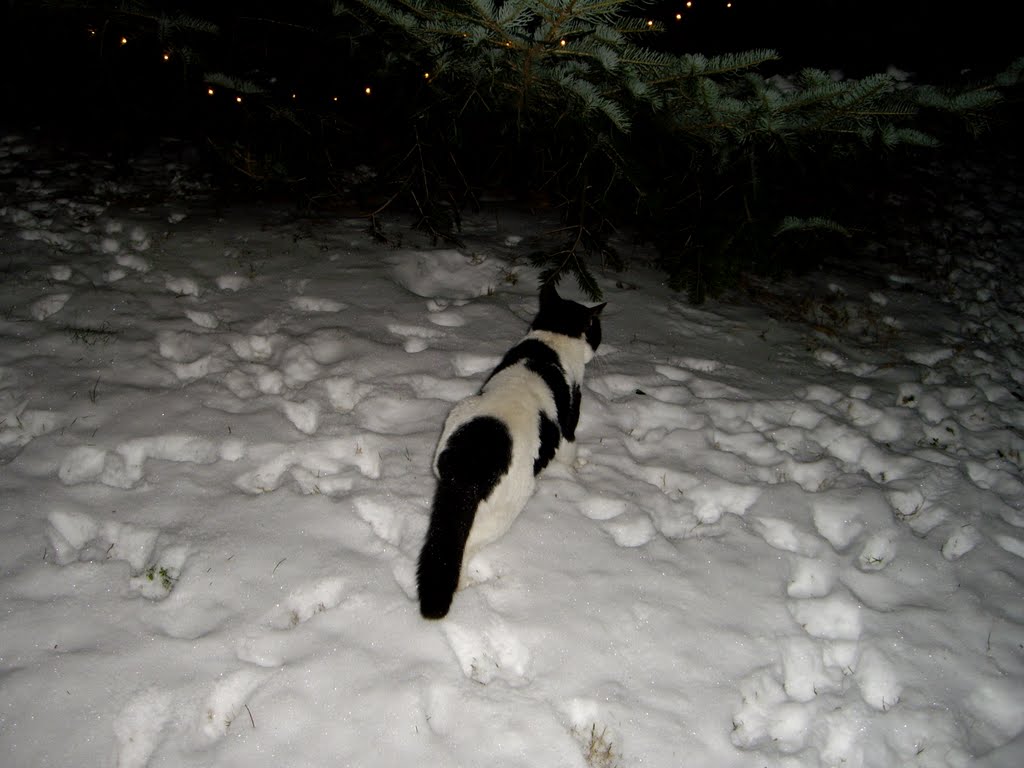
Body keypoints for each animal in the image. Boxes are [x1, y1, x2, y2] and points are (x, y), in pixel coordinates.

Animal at [415, 282, 602, 618]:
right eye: (597, 330)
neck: (552, 338)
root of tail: (472, 456)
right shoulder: (569, 425)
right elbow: (570, 453)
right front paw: (577, 470)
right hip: (507, 506)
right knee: (467, 545)